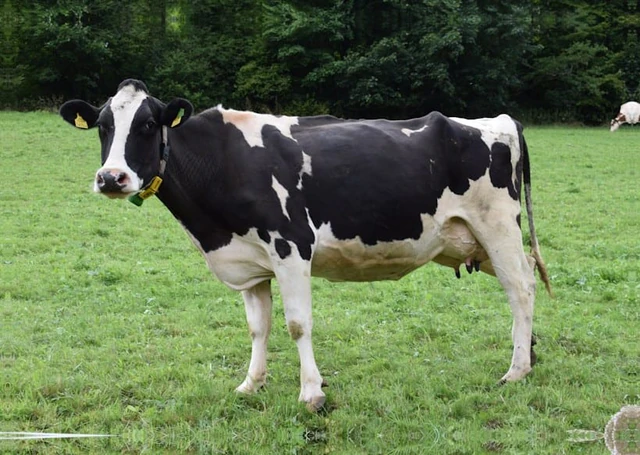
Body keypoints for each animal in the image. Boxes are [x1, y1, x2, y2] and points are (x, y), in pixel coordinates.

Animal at [60, 79, 552, 412]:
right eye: (102, 126)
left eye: (147, 125)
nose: (111, 178)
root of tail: (498, 120)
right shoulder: (249, 263)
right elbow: (258, 328)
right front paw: (251, 384)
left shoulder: (291, 247)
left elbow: (297, 324)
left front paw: (312, 393)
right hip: (475, 241)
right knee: (526, 278)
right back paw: (529, 354)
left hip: (497, 227)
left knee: (521, 289)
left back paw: (515, 371)